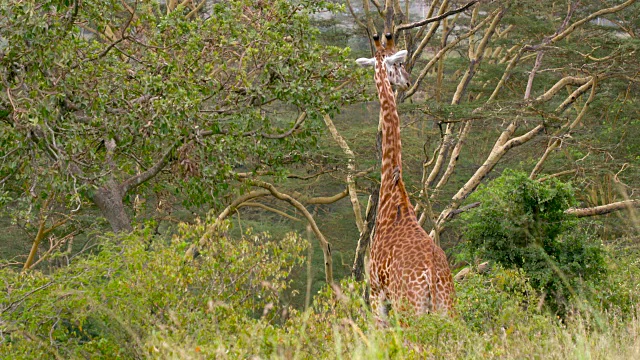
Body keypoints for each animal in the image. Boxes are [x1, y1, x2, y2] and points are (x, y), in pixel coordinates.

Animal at [356, 33, 456, 320]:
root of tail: (432, 277)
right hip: (448, 309)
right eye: (399, 65)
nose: (408, 81)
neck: (393, 190)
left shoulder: (376, 291)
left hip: (408, 307)